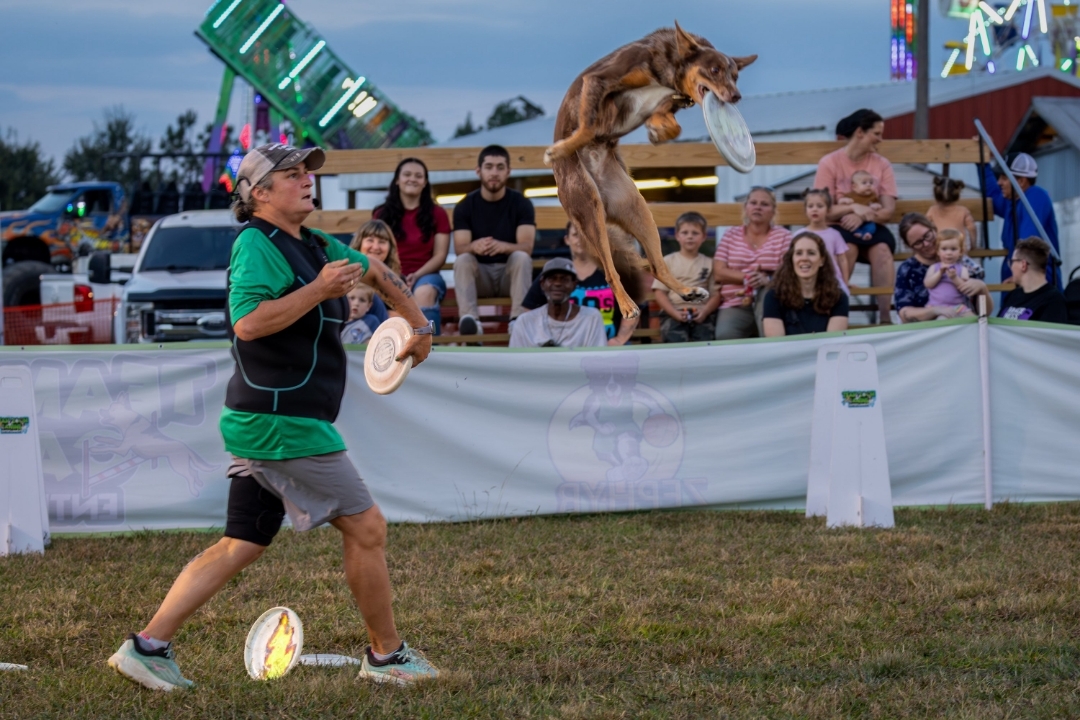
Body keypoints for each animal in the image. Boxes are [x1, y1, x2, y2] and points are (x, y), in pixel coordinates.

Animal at [545, 22, 756, 320]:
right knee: (610, 270)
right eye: (715, 70)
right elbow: (587, 126)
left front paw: (658, 131)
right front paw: (560, 149)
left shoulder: (669, 103)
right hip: (590, 209)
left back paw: (688, 292)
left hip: (638, 212)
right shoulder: (599, 80)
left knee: (656, 266)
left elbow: (672, 125)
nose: (736, 96)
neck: (669, 73)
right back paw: (626, 304)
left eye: (735, 76)